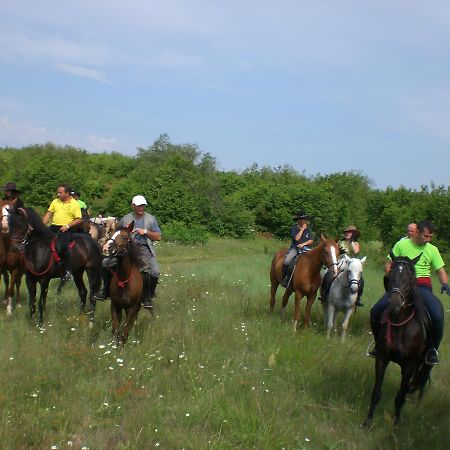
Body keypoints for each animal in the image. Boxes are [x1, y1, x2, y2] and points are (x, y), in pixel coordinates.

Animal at [364, 255, 434, 428]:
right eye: (390, 275)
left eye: (410, 278)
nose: (394, 304)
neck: (401, 325)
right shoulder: (382, 359)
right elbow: (376, 393)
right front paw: (368, 421)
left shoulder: (409, 365)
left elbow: (400, 398)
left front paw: (395, 425)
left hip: (423, 364)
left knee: (421, 381)